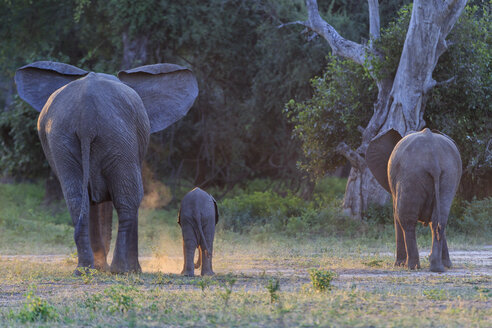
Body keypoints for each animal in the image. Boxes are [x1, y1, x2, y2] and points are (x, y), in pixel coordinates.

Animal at [15, 60, 200, 272]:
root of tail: (85, 116)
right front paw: (123, 269)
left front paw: (100, 267)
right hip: (118, 135)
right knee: (129, 199)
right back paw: (122, 270)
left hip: (63, 138)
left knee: (77, 200)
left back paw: (85, 269)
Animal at [368, 128, 464, 272]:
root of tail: (433, 159)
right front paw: (448, 265)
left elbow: (396, 215)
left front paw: (398, 264)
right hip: (449, 174)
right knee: (440, 218)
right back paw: (437, 267)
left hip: (411, 175)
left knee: (406, 219)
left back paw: (412, 266)